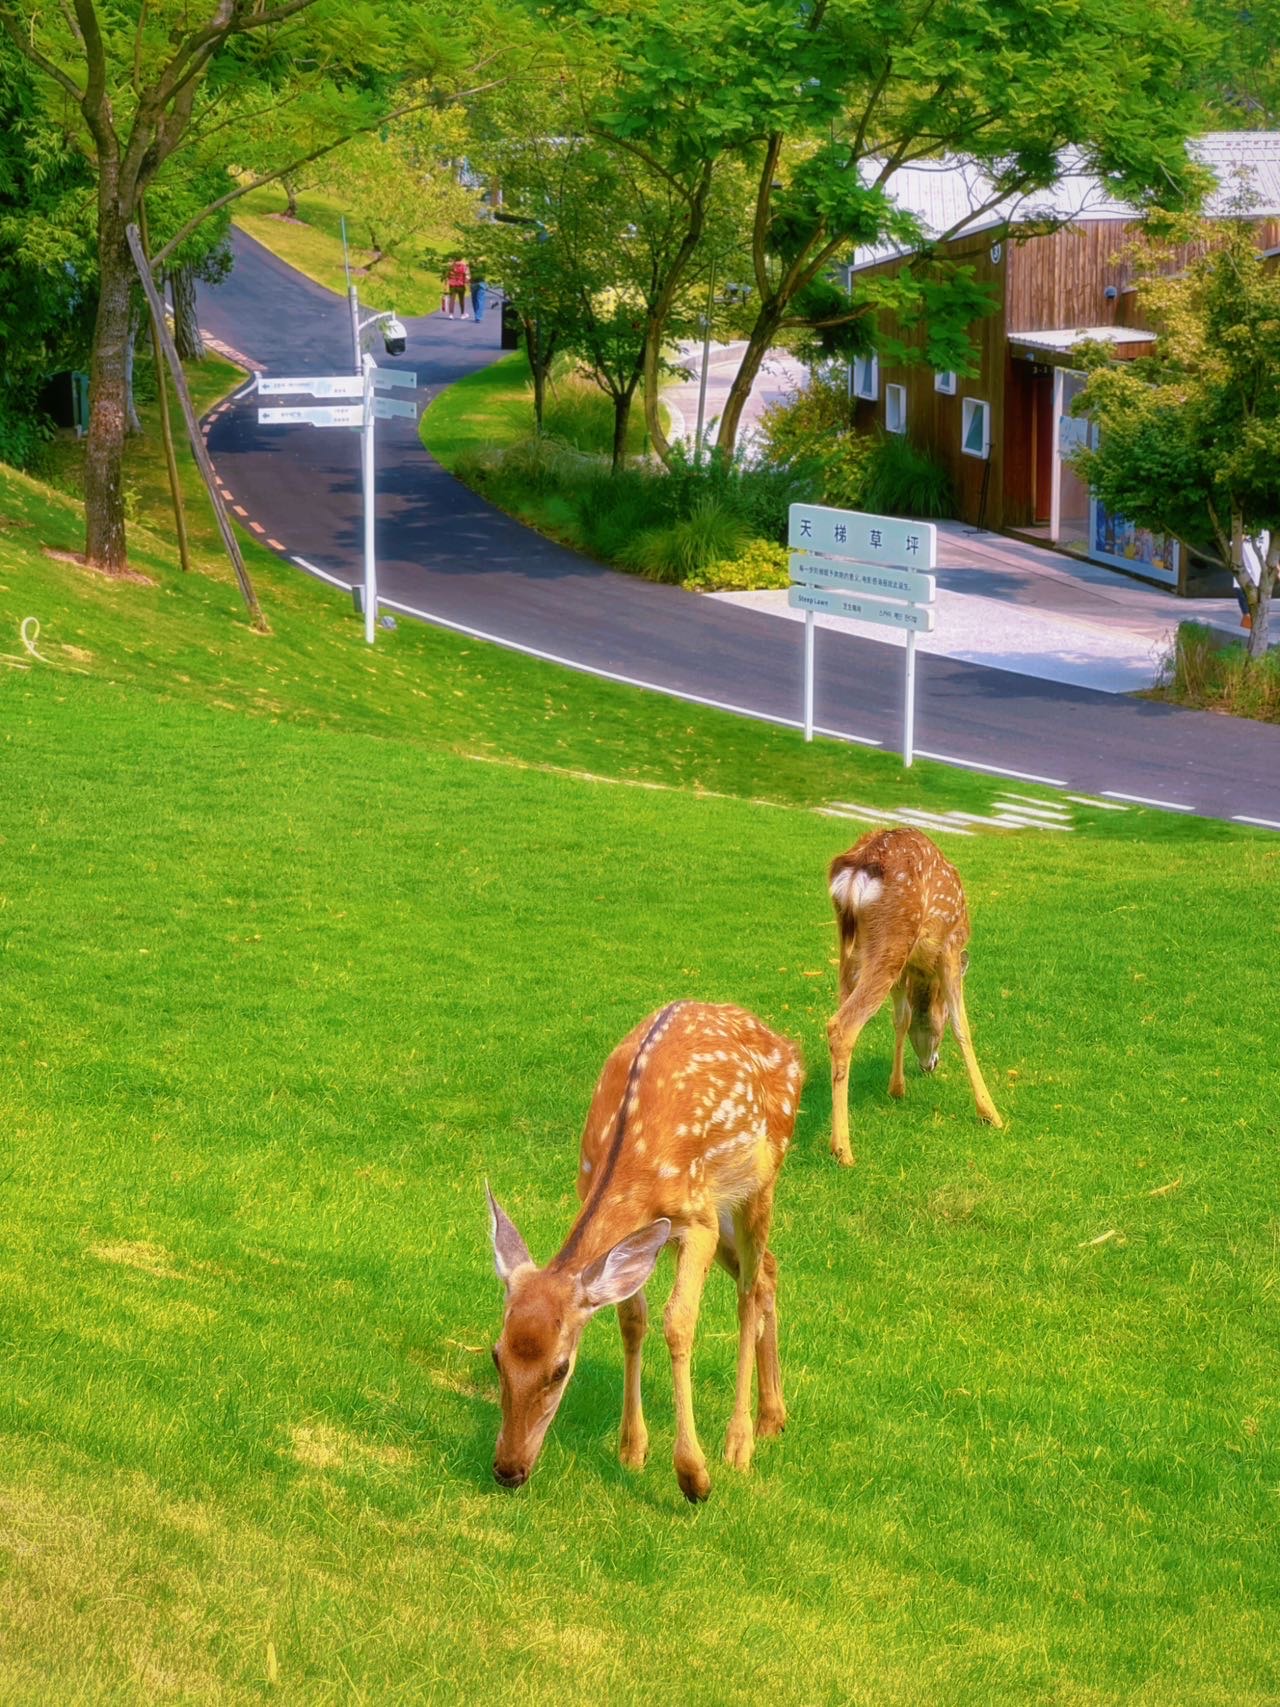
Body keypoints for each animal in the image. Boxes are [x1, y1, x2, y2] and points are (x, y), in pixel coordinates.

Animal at [488, 1003, 802, 1502]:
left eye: (560, 1369)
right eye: (496, 1355)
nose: (507, 1469)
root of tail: (784, 1043)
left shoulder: (696, 1221)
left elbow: (678, 1322)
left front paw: (693, 1475)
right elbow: (632, 1318)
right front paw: (632, 1448)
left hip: (758, 1183)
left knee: (749, 1291)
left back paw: (740, 1441)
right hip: (722, 1211)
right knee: (768, 1269)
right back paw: (773, 1416)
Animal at [826, 822, 1010, 1160]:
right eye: (939, 1023)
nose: (930, 1065)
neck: (923, 969)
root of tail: (858, 868)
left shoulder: (907, 969)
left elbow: (902, 1017)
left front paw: (896, 1088)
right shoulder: (951, 946)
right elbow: (962, 1026)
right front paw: (990, 1113)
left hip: (855, 949)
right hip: (894, 936)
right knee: (841, 1026)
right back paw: (843, 1150)